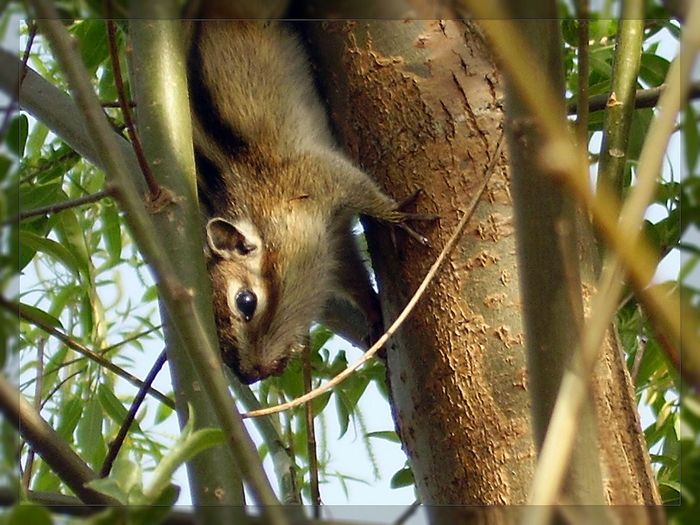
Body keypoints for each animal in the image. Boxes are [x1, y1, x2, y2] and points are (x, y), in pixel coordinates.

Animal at [186, 20, 426, 382]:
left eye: (245, 302)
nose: (250, 375)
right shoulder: (334, 241)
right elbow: (352, 276)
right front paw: (374, 315)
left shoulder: (318, 175)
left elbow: (365, 191)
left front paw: (400, 218)